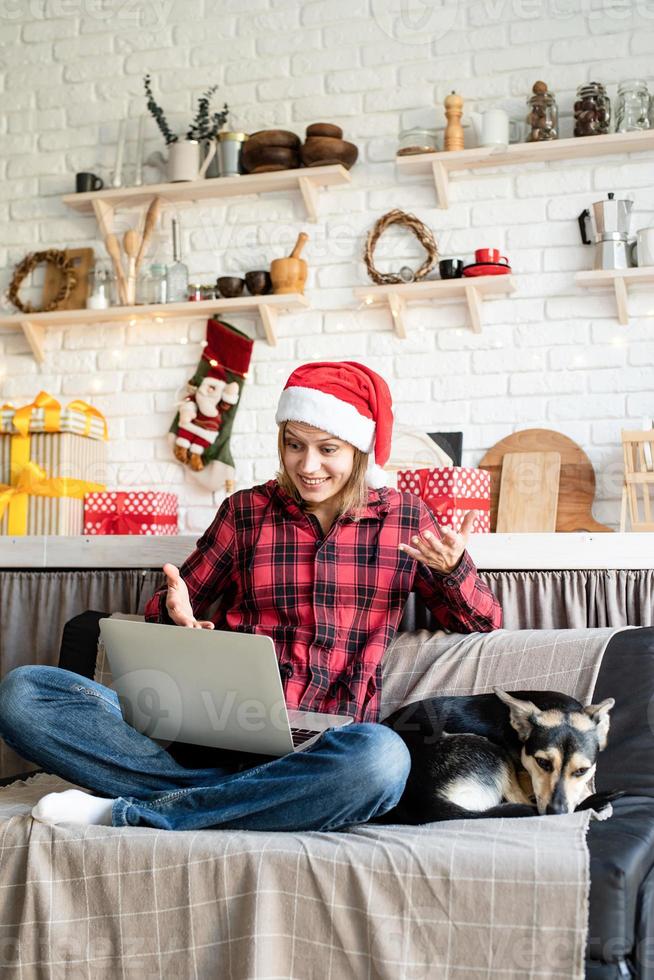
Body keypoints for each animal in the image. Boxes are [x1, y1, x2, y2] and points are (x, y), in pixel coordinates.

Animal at [380, 688, 620, 828]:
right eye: (543, 762)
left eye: (581, 771)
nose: (557, 813)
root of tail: (418, 800)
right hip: (491, 750)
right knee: (520, 802)